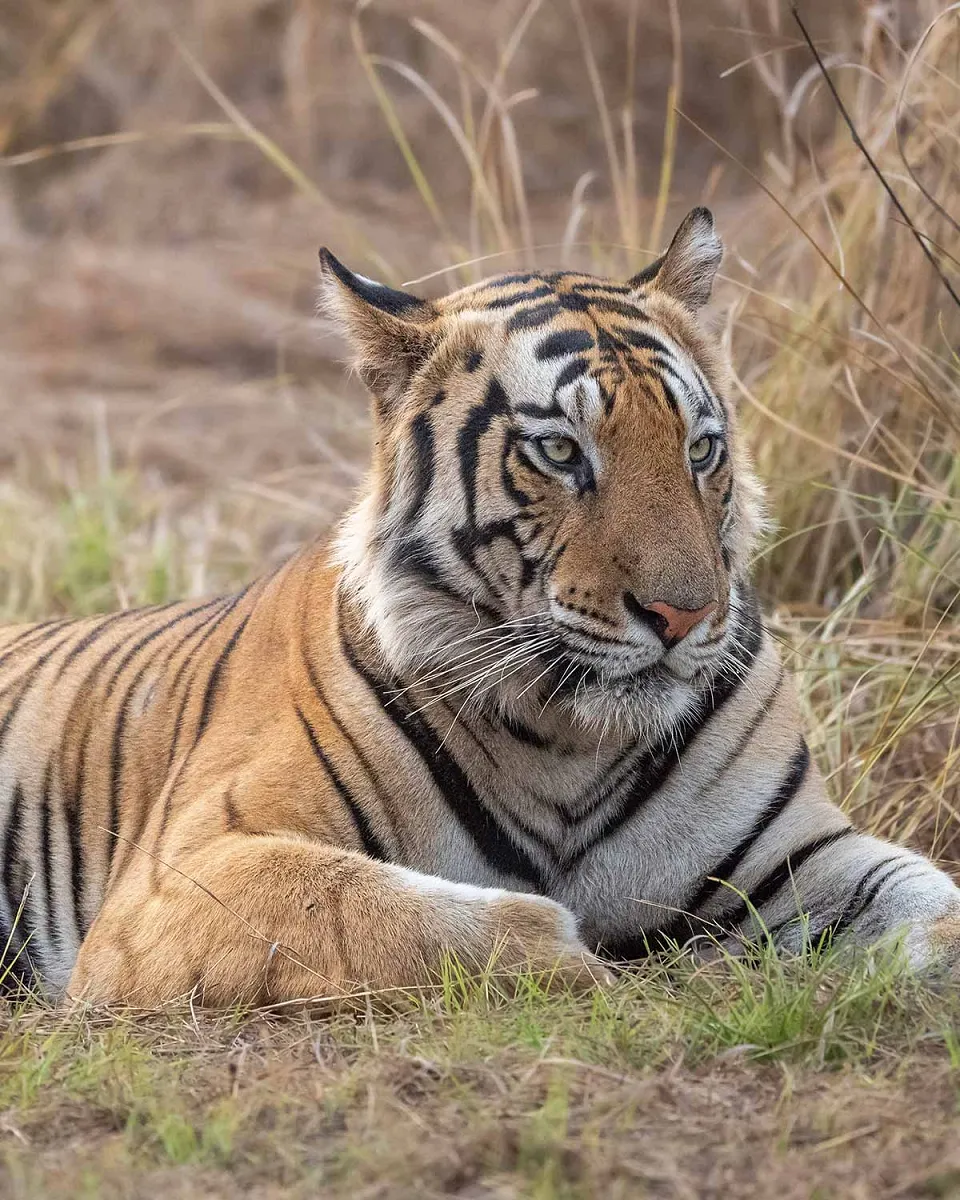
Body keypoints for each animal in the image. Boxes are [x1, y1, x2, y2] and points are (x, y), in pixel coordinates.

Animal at [1, 206, 958, 1007]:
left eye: (700, 449)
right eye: (560, 452)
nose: (682, 617)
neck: (569, 742)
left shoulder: (798, 853)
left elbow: (939, 908)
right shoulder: (184, 873)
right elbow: (408, 915)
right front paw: (593, 967)